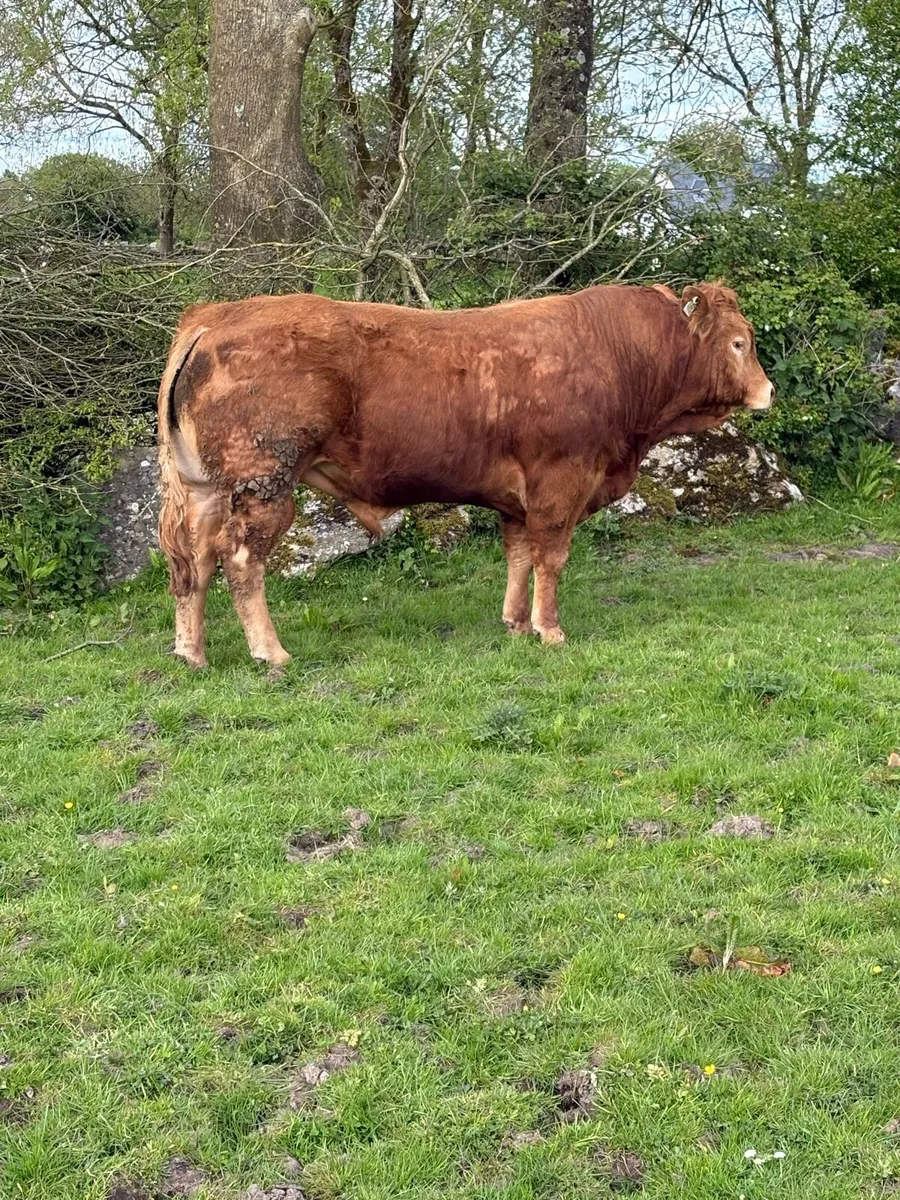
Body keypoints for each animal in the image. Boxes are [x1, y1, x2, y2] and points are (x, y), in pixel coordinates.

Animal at [157, 281, 773, 668]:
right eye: (739, 342)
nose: (768, 390)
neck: (619, 356)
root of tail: (215, 315)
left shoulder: (518, 498)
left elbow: (519, 555)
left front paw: (516, 623)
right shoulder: (561, 481)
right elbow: (550, 557)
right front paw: (550, 629)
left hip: (207, 488)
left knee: (195, 561)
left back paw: (193, 653)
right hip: (264, 482)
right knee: (241, 560)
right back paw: (271, 652)